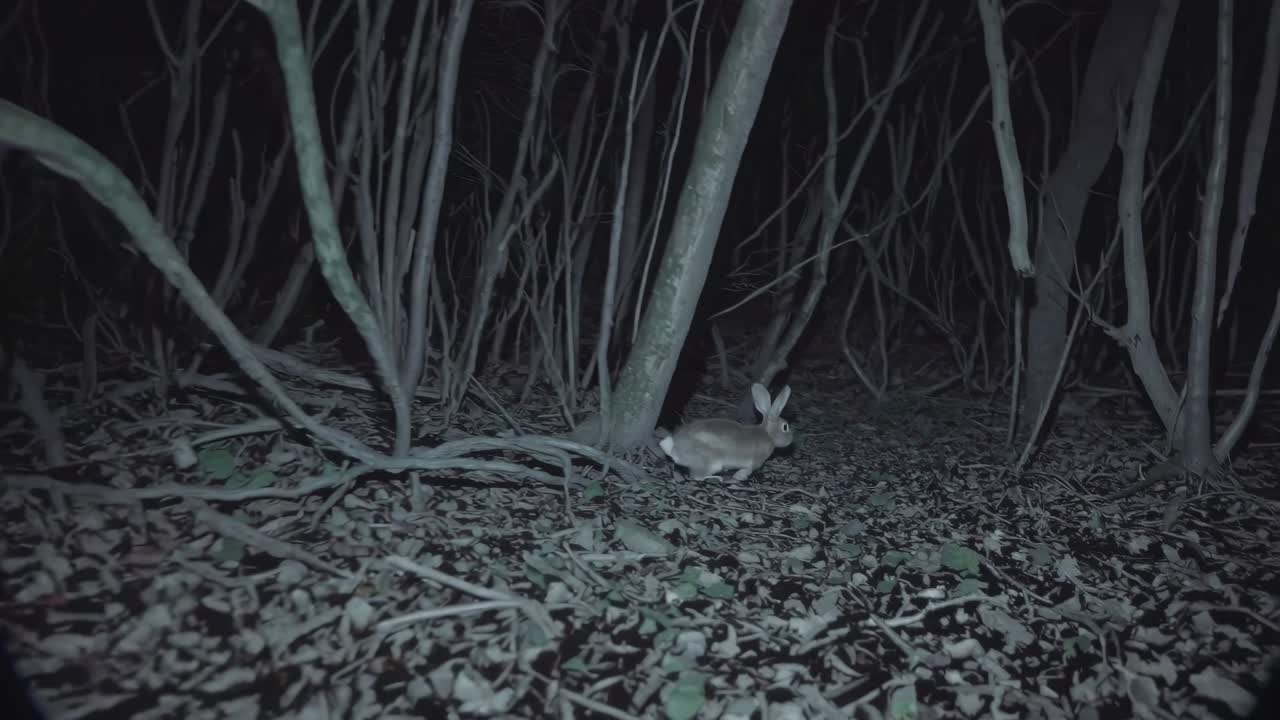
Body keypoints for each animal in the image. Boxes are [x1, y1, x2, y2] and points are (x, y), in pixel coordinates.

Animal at [658, 383, 793, 481]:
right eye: (785, 427)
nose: (791, 440)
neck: (768, 434)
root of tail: (674, 448)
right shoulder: (756, 461)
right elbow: (748, 470)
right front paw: (739, 477)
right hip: (710, 462)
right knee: (698, 477)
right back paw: (716, 478)